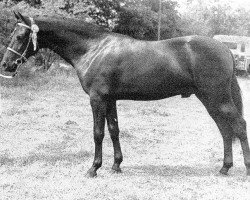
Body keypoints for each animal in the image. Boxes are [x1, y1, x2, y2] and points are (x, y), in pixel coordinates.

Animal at [0, 13, 250, 177]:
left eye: (20, 36)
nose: (6, 64)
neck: (94, 49)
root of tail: (224, 48)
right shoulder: (110, 99)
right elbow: (114, 131)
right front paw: (116, 165)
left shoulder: (97, 99)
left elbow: (98, 133)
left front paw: (93, 168)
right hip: (209, 99)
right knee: (225, 130)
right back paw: (224, 168)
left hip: (218, 98)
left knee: (238, 125)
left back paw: (244, 170)